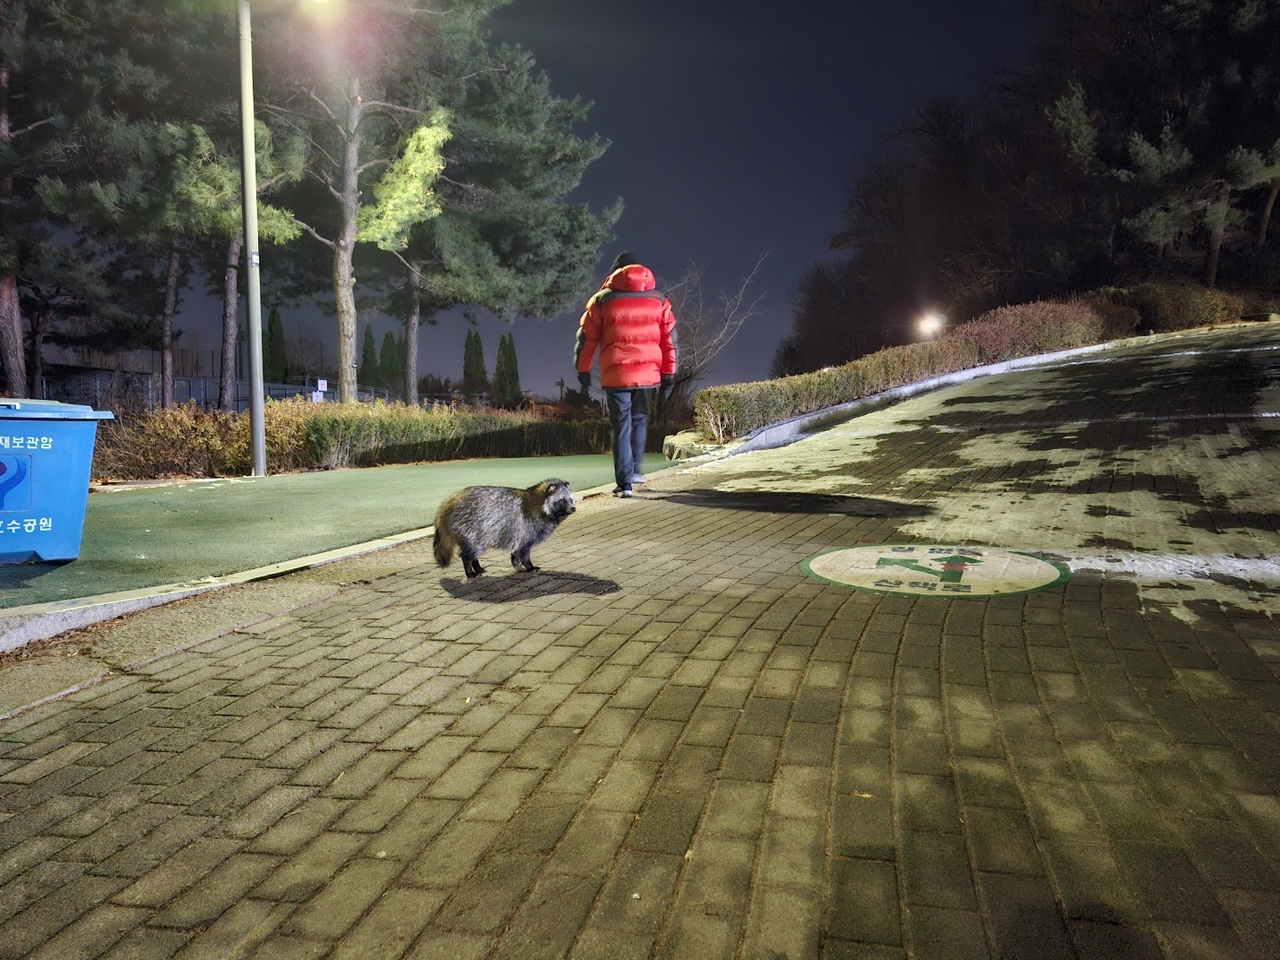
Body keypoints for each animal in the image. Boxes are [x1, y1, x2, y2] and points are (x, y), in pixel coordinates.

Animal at [432, 481, 573, 578]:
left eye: (571, 500)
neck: (539, 501)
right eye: (562, 500)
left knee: (473, 551)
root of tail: (450, 501)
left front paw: (516, 563)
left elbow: (516, 550)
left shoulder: (519, 532)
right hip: (471, 528)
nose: (573, 508)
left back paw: (476, 566)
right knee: (469, 552)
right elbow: (524, 551)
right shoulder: (527, 528)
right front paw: (529, 566)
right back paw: (469, 569)